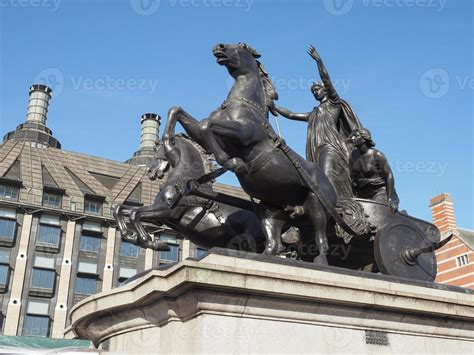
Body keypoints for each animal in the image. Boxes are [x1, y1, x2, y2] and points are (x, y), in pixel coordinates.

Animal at [166, 43, 336, 264]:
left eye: (240, 47)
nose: (218, 47)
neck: (243, 105)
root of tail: (332, 188)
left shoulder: (244, 133)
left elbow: (206, 124)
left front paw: (233, 162)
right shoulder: (208, 139)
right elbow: (180, 112)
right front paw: (168, 141)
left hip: (317, 204)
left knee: (321, 236)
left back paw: (321, 260)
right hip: (272, 208)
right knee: (274, 242)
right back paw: (262, 255)